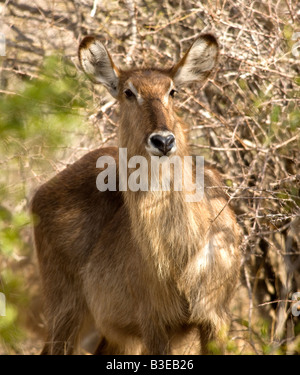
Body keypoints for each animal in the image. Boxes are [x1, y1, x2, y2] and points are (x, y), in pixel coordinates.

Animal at [31, 33, 241, 356]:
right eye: (128, 92)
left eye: (172, 90)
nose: (163, 140)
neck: (180, 257)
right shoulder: (154, 324)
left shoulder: (215, 318)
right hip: (66, 313)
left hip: (112, 335)